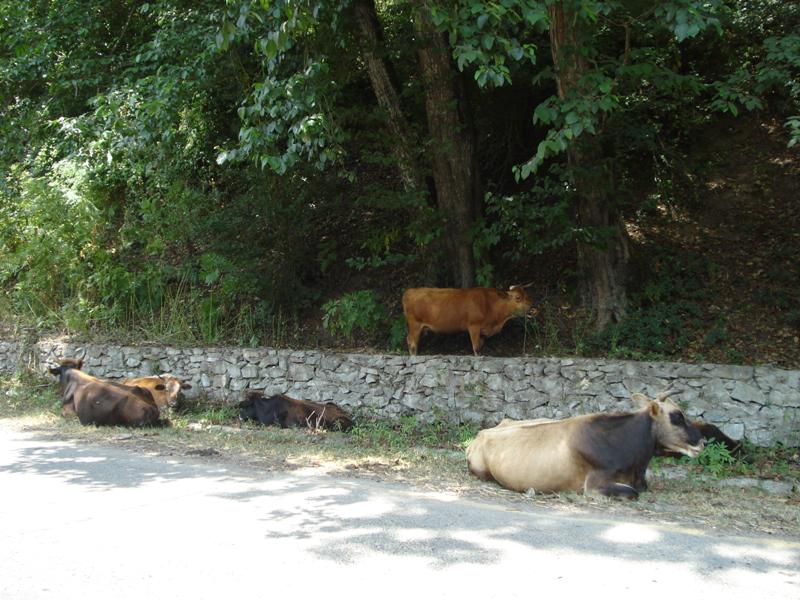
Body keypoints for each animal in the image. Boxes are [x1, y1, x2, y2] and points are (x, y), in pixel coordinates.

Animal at [400, 284, 536, 354]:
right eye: (518, 298)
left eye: (527, 296)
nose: (533, 309)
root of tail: (410, 291)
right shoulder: (474, 326)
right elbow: (476, 347)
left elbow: (480, 345)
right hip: (415, 324)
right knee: (412, 342)